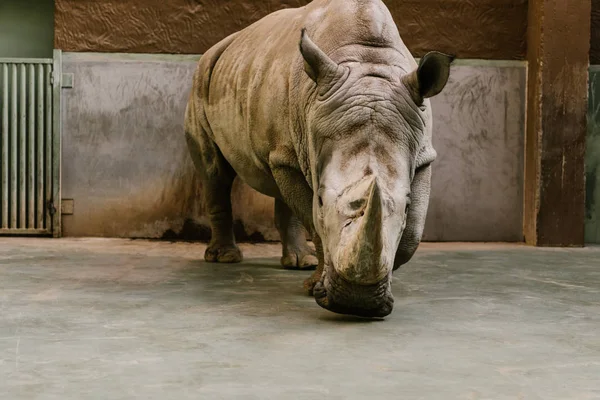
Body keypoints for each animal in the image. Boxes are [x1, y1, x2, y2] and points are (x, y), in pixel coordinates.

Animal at [185, 0, 452, 318]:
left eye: (408, 203)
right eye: (322, 200)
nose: (357, 305)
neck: (369, 65)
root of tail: (227, 42)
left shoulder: (423, 154)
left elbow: (412, 231)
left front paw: (388, 273)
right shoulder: (293, 152)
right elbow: (314, 221)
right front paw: (316, 287)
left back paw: (300, 263)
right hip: (203, 78)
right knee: (215, 171)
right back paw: (225, 258)